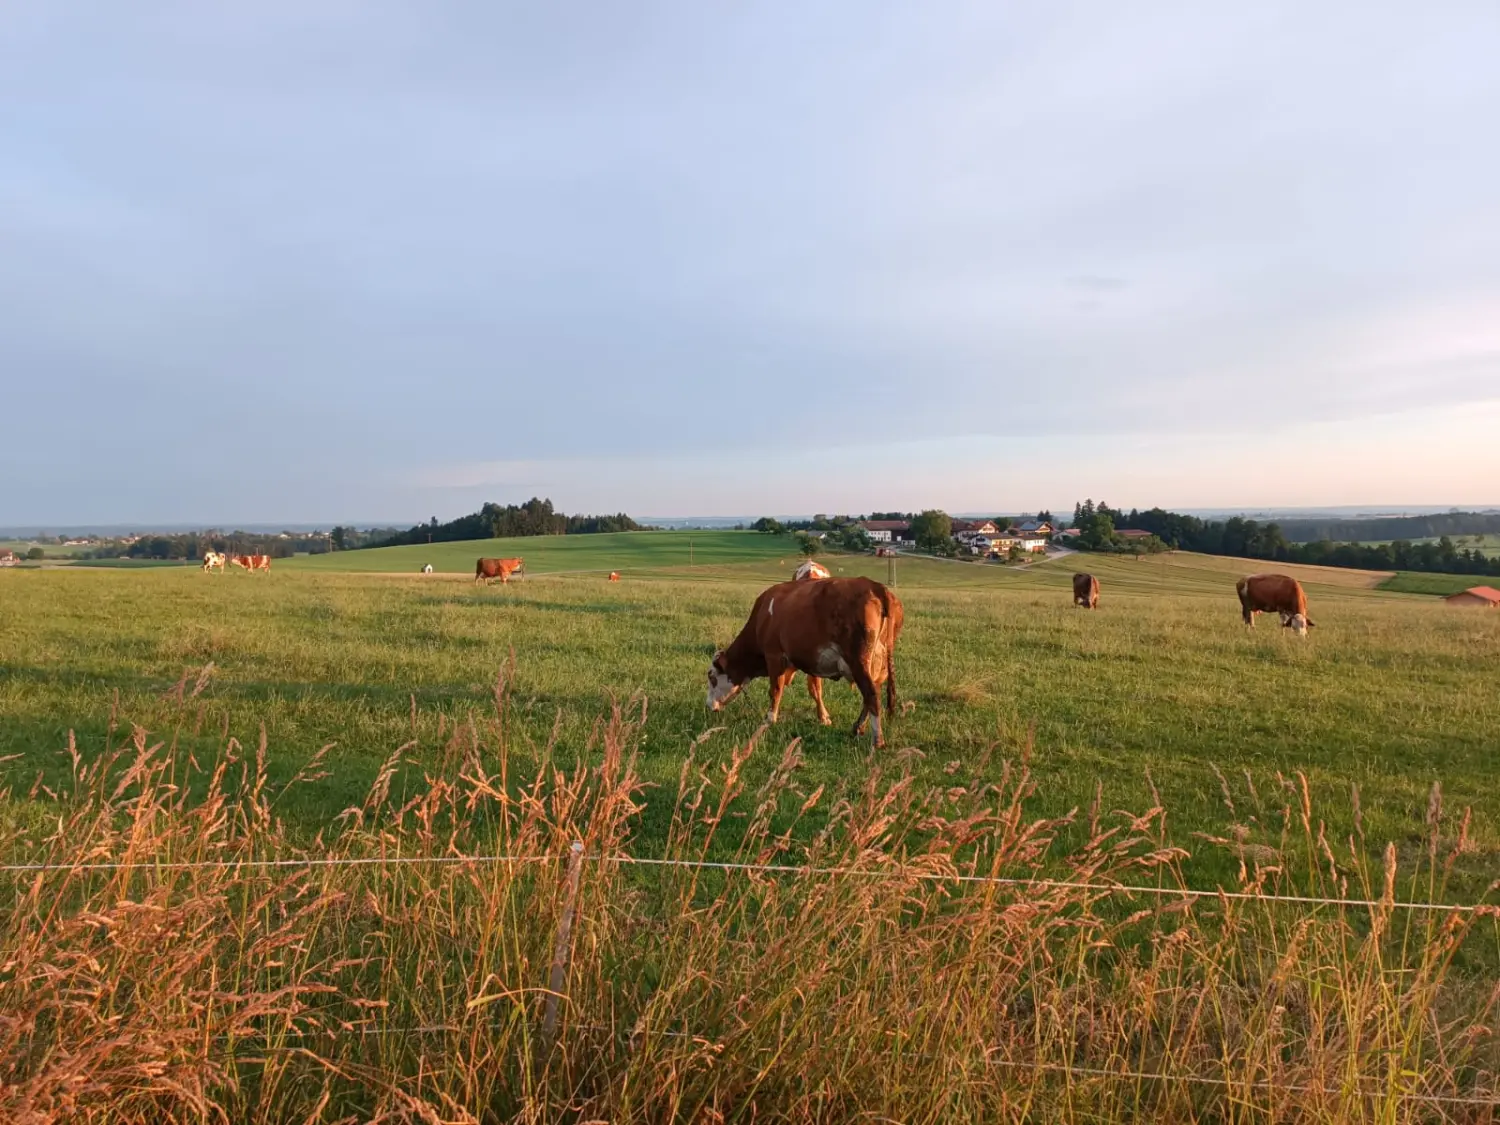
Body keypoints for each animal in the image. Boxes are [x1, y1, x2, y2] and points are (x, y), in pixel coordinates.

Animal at [705, 582, 900, 750]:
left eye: (712, 677)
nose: (707, 705)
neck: (762, 617)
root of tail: (874, 585)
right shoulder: (810, 661)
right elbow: (815, 689)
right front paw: (824, 717)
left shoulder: (774, 655)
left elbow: (775, 690)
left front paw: (769, 719)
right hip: (878, 665)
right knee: (873, 692)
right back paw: (858, 727)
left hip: (858, 662)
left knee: (871, 694)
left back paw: (877, 740)